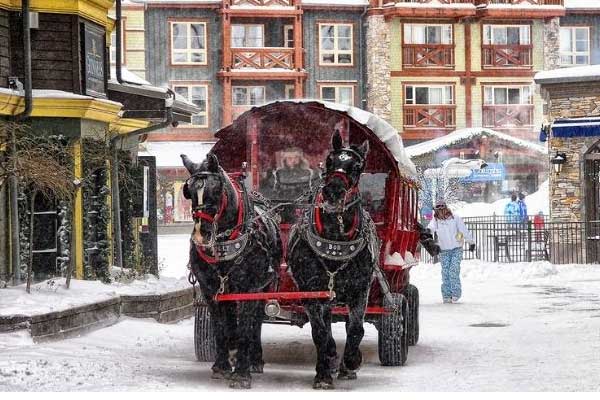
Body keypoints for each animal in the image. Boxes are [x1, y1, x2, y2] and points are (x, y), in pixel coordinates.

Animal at [182, 152, 282, 388]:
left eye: (217, 191)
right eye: (188, 192)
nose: (201, 235)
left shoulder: (249, 288)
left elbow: (246, 327)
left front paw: (242, 374)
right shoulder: (211, 290)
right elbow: (221, 327)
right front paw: (222, 365)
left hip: (264, 287)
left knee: (255, 321)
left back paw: (255, 360)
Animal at [288, 131, 380, 388]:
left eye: (357, 166)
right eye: (329, 162)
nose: (333, 191)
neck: (334, 241)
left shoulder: (360, 290)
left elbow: (356, 329)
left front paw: (350, 361)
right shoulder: (310, 293)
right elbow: (320, 333)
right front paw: (323, 372)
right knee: (326, 324)